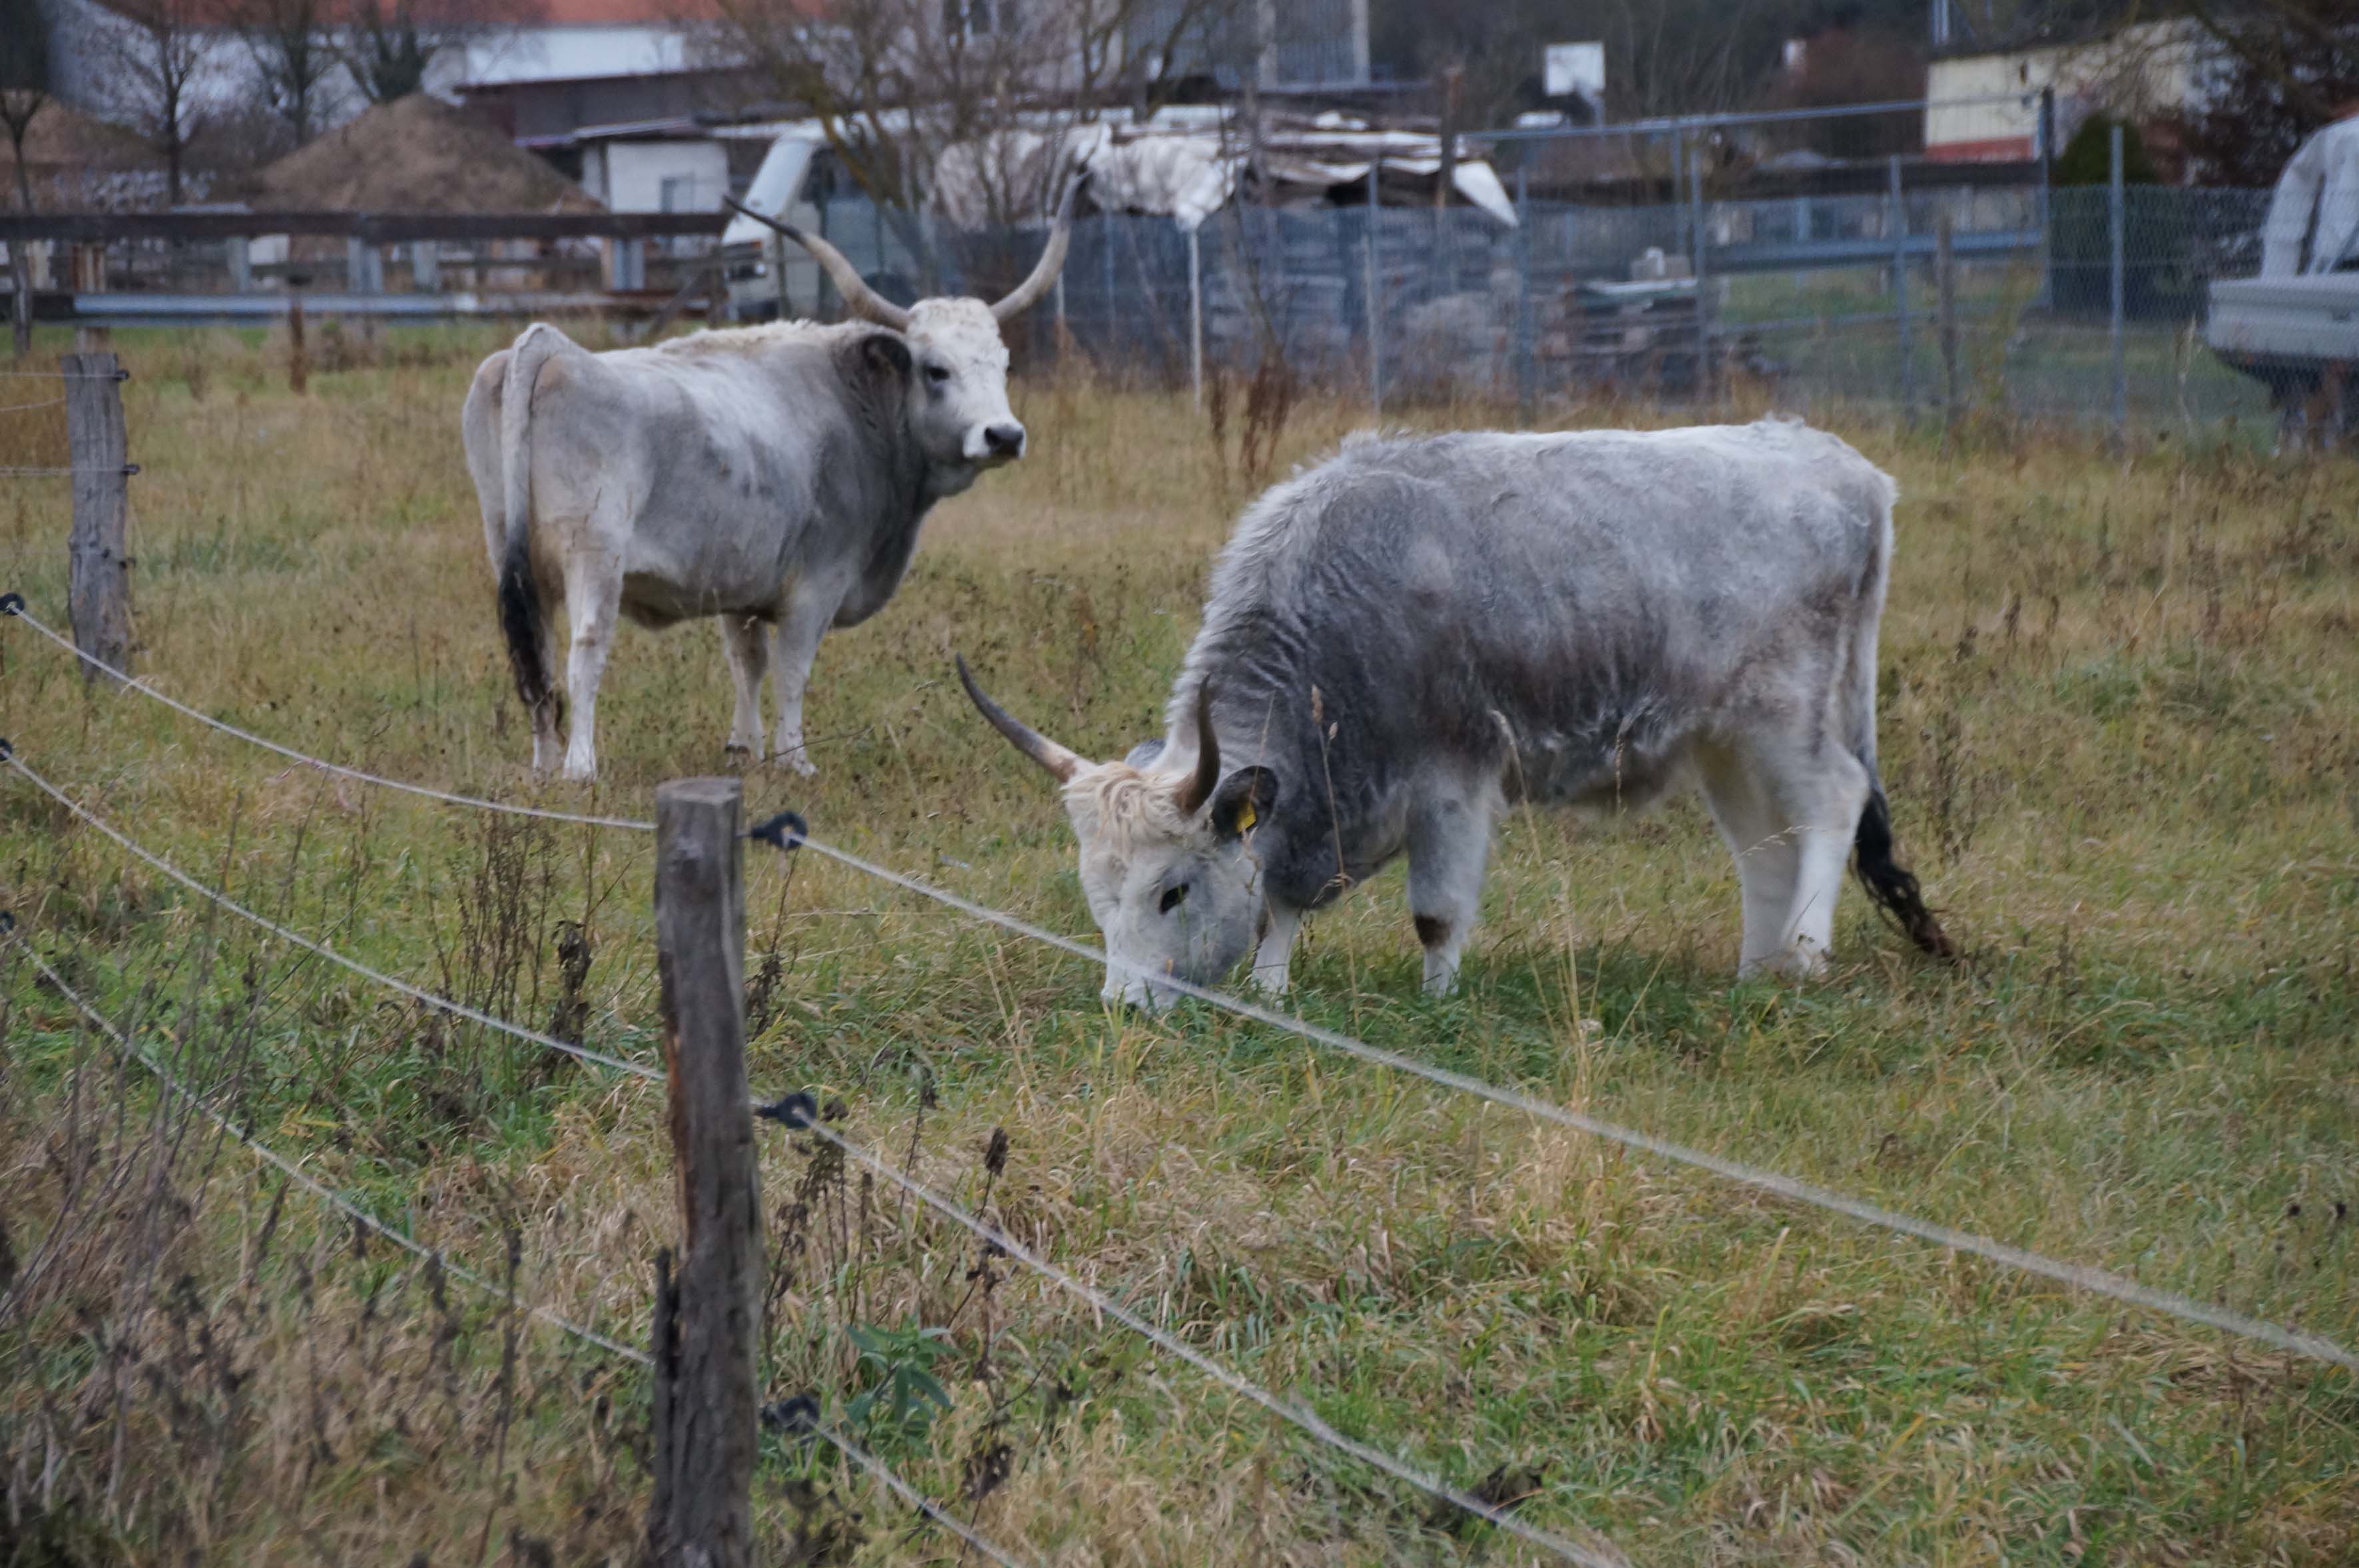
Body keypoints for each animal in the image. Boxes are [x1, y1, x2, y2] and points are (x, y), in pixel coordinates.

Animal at [457, 196, 1080, 782]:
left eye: (1003, 366)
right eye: (936, 369)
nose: (1003, 435)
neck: (856, 401)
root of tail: (551, 347)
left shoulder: (743, 589)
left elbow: (747, 664)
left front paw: (744, 750)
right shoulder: (816, 586)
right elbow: (791, 671)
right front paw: (793, 759)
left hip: (511, 555)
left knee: (535, 655)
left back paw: (543, 766)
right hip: (594, 556)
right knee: (585, 652)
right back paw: (580, 767)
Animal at [957, 419, 1953, 1004]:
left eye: (1171, 890)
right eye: (1097, 894)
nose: (1122, 1007)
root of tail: (1845, 467)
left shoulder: (1451, 781)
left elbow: (1434, 911)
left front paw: (1438, 999)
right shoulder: (1314, 807)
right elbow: (1277, 899)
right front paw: (1275, 990)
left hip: (1787, 713)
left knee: (1829, 803)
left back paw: (1807, 954)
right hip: (1724, 740)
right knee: (1762, 846)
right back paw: (1754, 970)